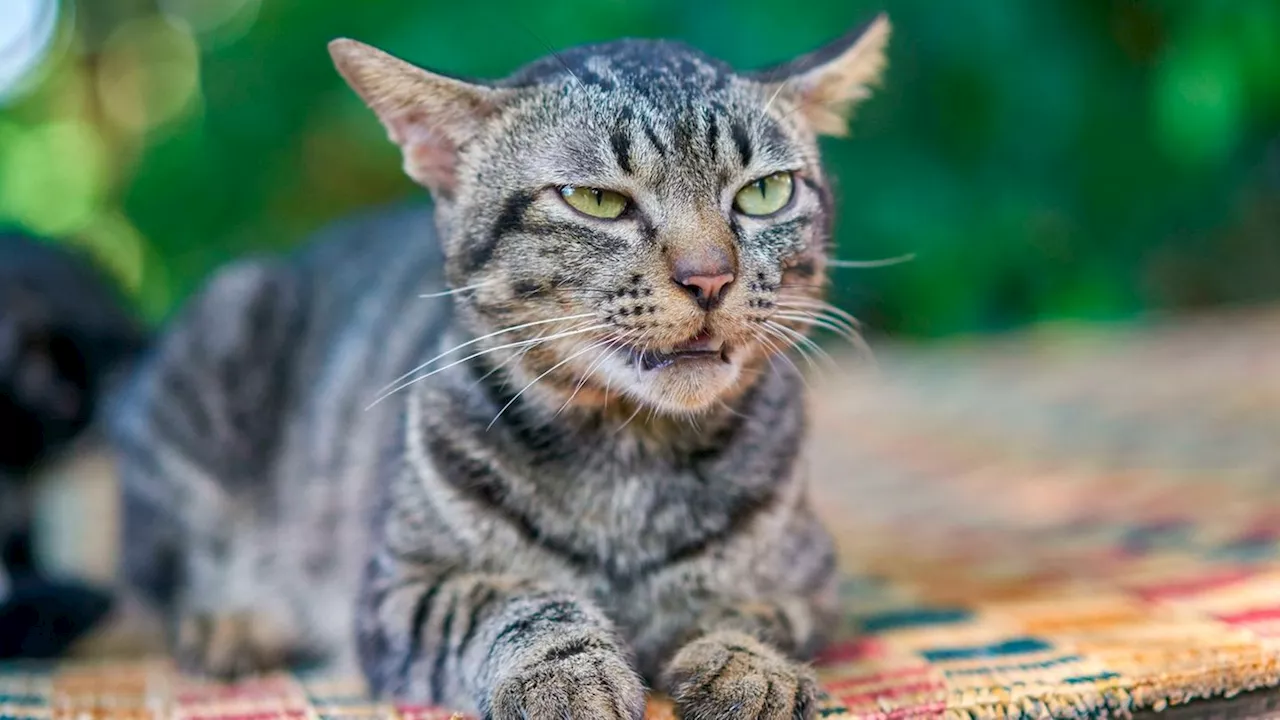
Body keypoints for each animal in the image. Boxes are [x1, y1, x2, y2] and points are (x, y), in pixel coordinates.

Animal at [110, 15, 890, 717]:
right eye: (597, 200)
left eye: (764, 192)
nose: (709, 277)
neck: (631, 460)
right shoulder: (402, 591)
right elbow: (516, 603)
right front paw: (564, 672)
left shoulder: (810, 581)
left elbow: (755, 608)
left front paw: (746, 662)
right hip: (226, 327)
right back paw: (234, 624)